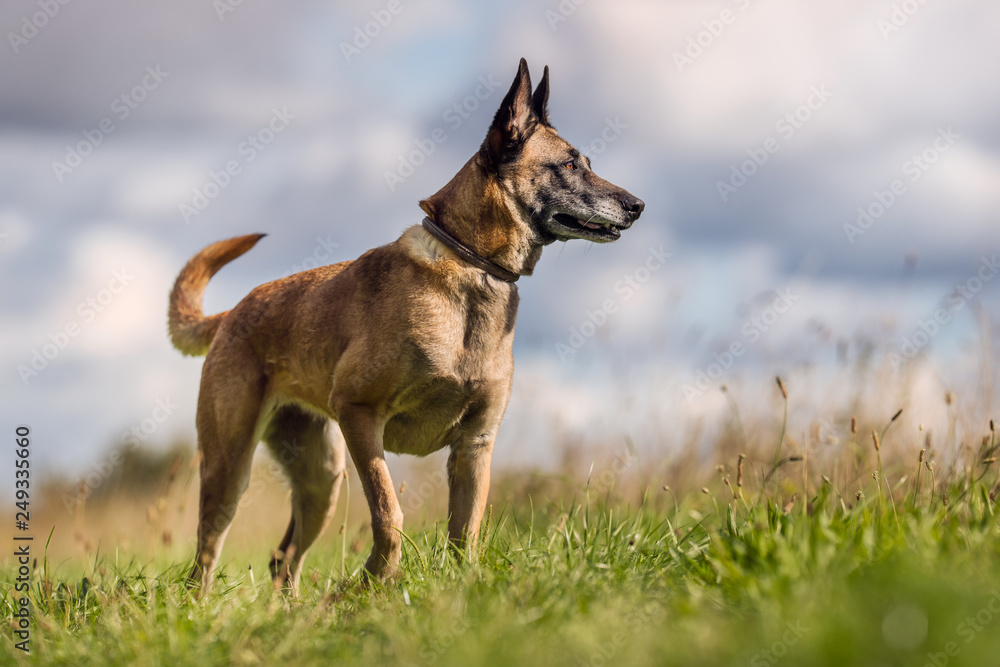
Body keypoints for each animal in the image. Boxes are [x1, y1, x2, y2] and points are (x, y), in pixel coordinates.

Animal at [168, 56, 644, 588]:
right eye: (569, 164)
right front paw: (374, 584)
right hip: (230, 467)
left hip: (320, 478)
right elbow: (389, 514)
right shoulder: (360, 415)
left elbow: (465, 533)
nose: (638, 206)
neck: (470, 266)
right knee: (206, 555)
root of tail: (232, 313)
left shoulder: (475, 446)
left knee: (283, 558)